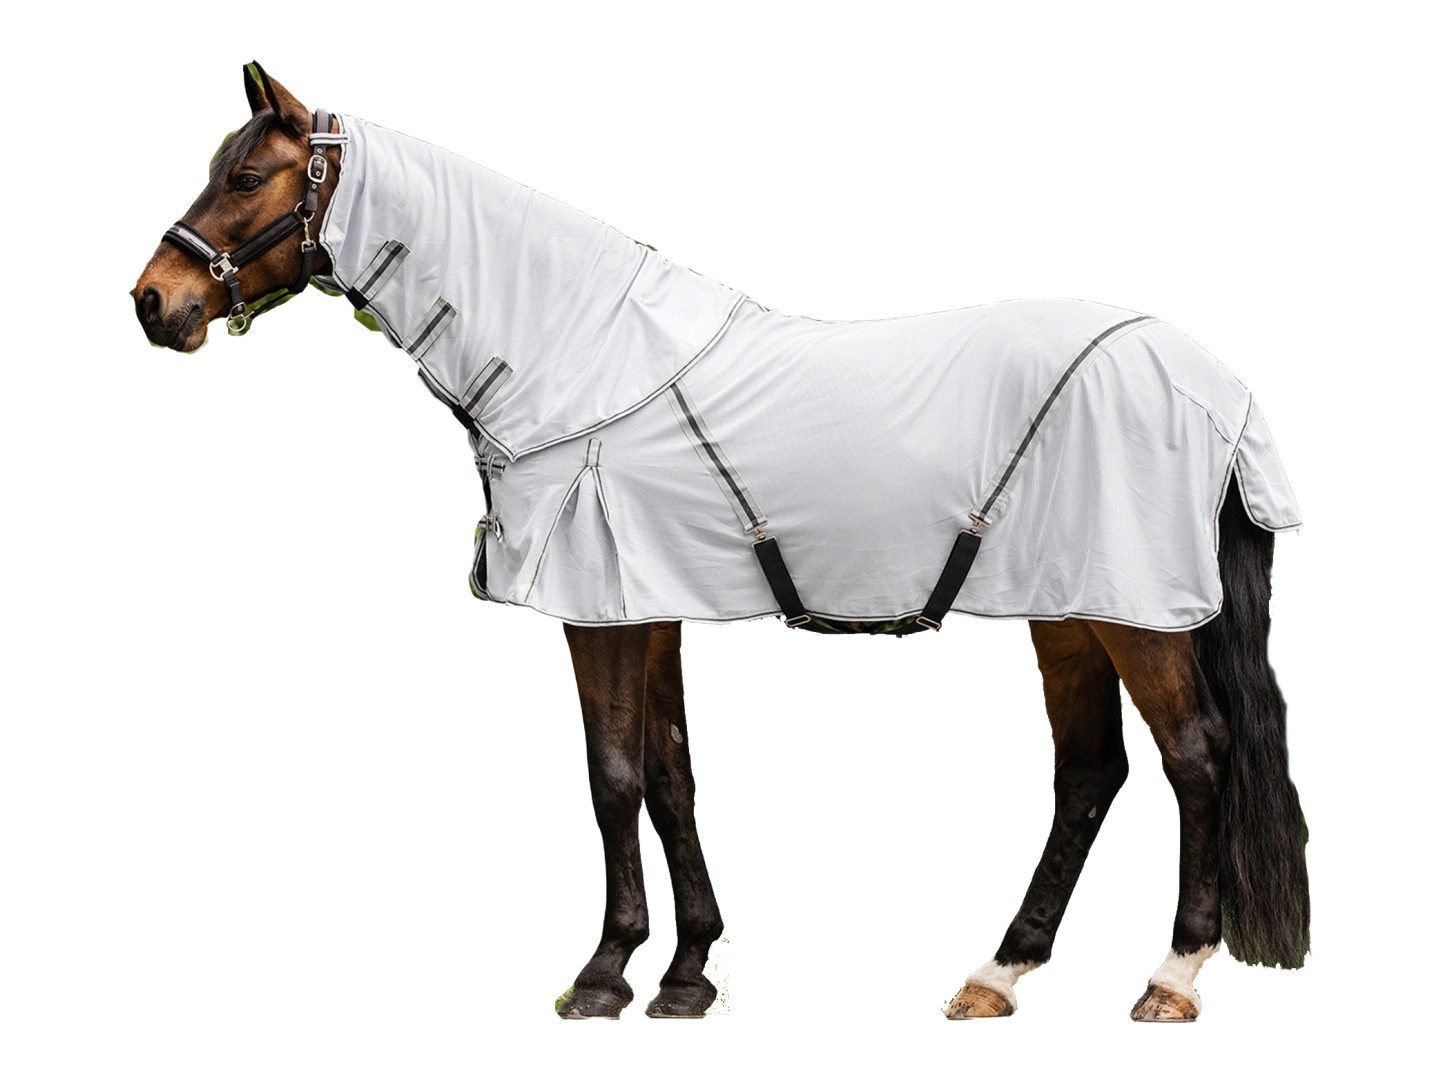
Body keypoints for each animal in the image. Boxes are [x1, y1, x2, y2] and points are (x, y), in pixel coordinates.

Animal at [131, 63, 1309, 1023]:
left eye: (246, 176)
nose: (153, 302)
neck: (583, 358)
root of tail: (1218, 387)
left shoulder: (599, 613)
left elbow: (611, 777)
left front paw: (604, 975)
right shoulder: (648, 608)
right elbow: (671, 777)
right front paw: (690, 972)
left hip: (1134, 613)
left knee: (1195, 757)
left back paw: (1171, 977)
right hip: (1069, 606)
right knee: (1091, 771)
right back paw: (998, 974)